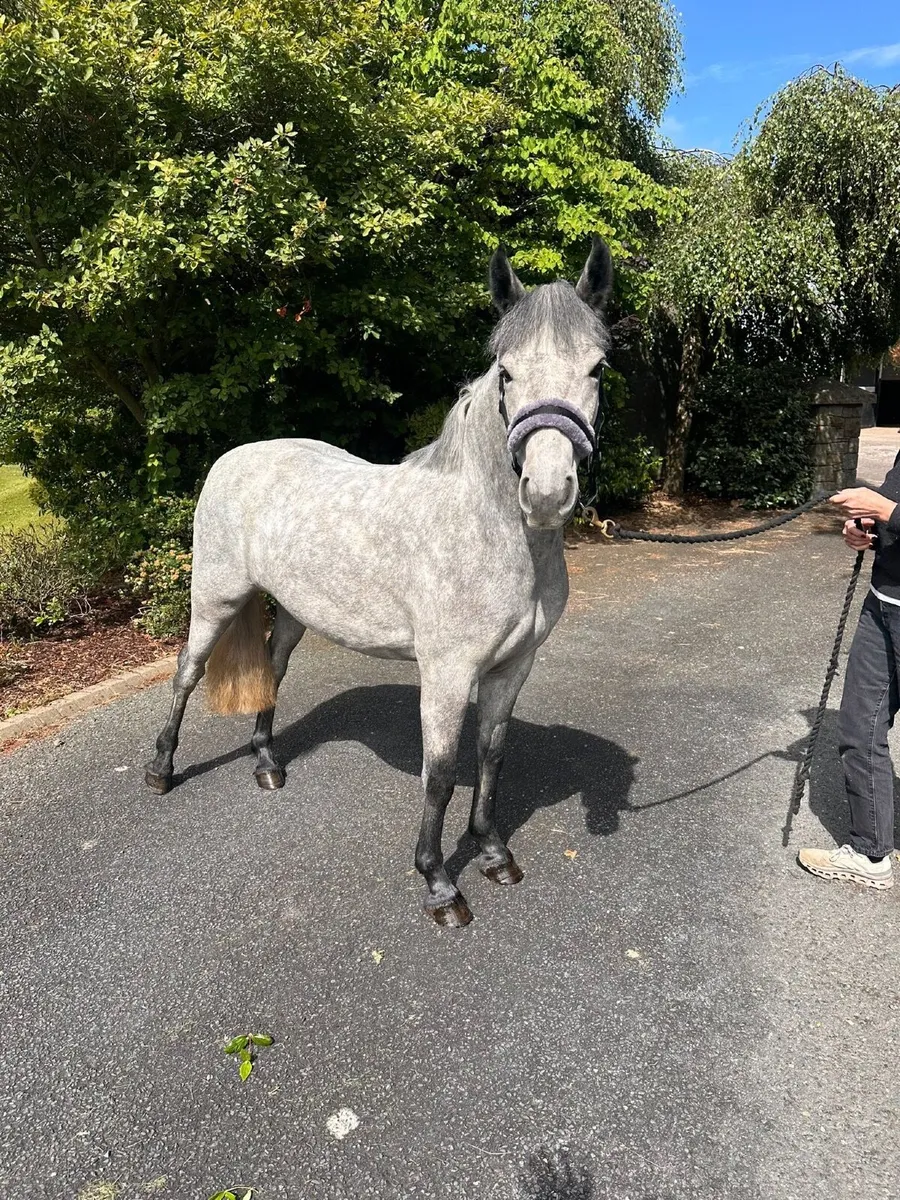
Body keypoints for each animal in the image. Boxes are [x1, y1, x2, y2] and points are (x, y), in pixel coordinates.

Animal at [145, 239, 613, 928]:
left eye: (597, 369)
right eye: (506, 372)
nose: (548, 493)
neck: (488, 529)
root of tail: (236, 456)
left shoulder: (513, 666)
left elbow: (491, 756)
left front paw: (493, 853)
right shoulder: (447, 673)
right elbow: (439, 774)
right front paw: (439, 885)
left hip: (293, 612)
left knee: (272, 671)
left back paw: (267, 765)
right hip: (215, 599)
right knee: (187, 672)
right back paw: (160, 769)